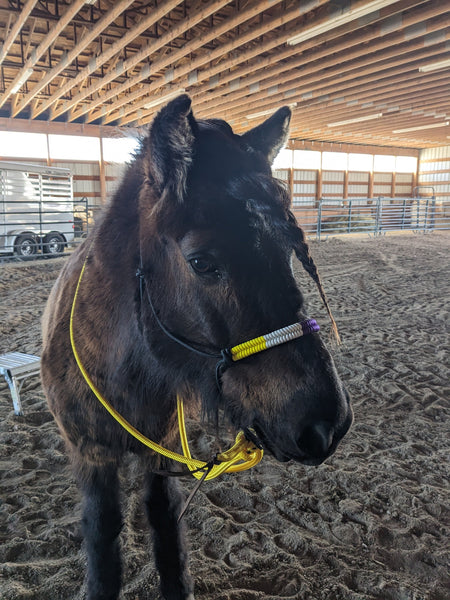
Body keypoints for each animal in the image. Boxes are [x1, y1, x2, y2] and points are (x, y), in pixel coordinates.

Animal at [40, 96, 352, 596]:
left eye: (287, 250)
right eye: (201, 262)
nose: (326, 424)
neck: (122, 373)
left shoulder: (160, 454)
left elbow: (168, 540)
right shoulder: (93, 461)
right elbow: (104, 549)